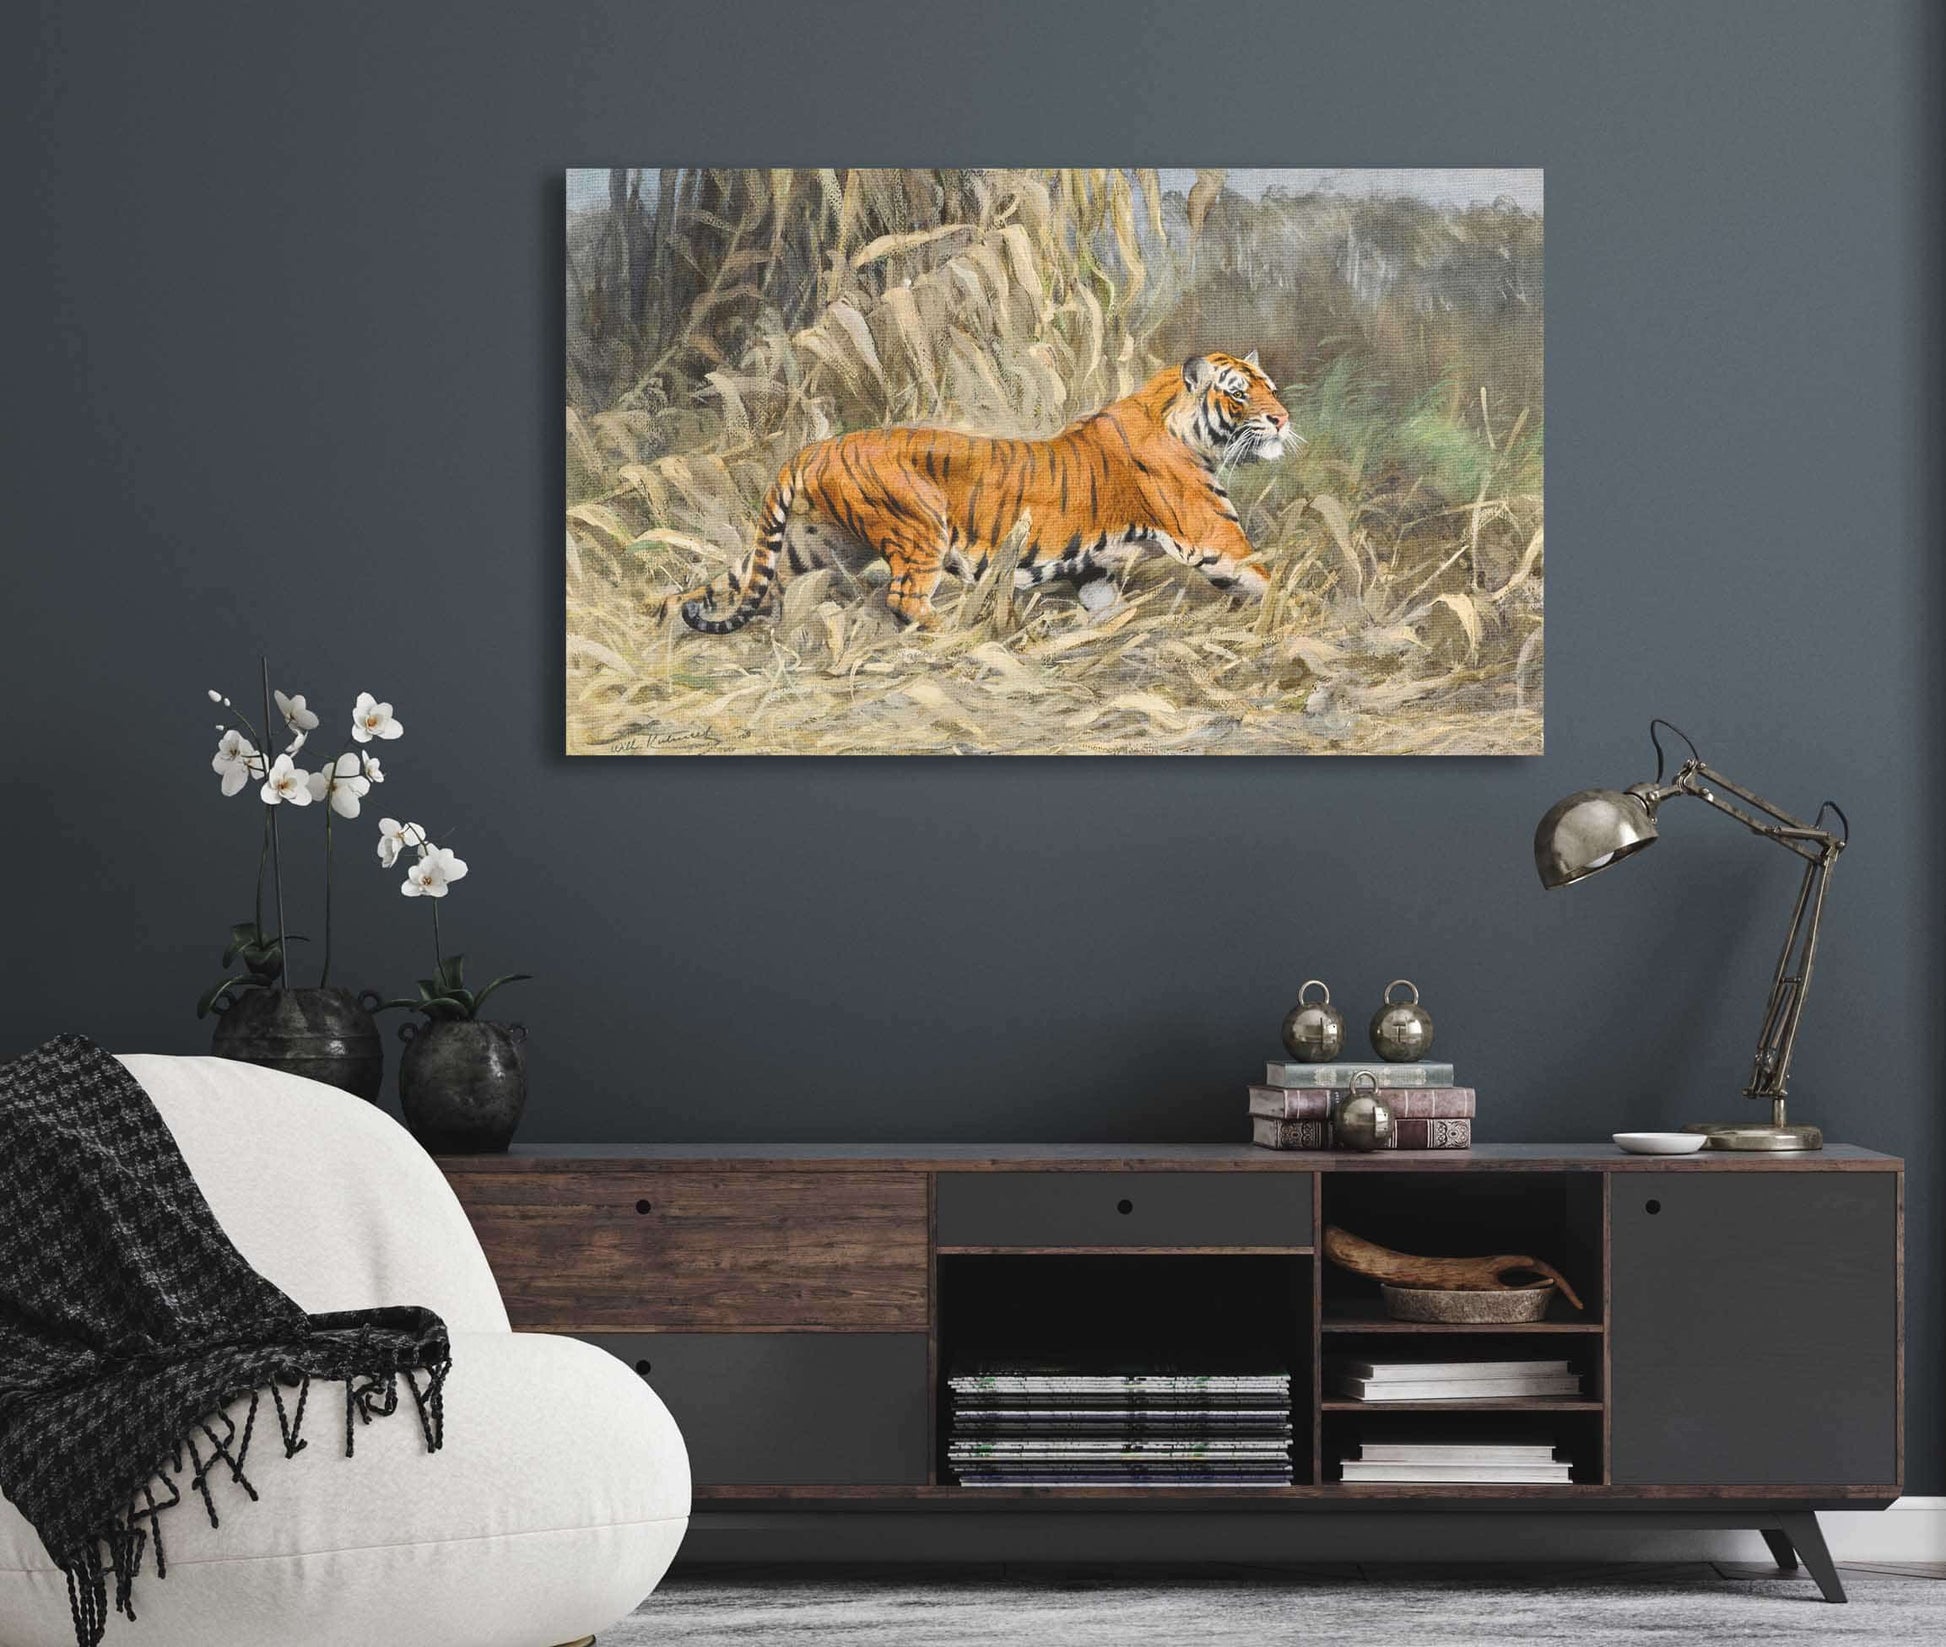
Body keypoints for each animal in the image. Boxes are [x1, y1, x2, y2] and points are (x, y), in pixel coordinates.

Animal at [677, 350, 1293, 634]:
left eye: (1271, 389)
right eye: (1239, 394)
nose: (1283, 420)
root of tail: (813, 450)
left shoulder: (1095, 566)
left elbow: (1103, 604)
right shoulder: (1216, 538)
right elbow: (1269, 578)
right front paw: (1298, 620)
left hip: (811, 548)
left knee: (741, 585)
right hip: (922, 532)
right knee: (903, 599)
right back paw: (959, 632)